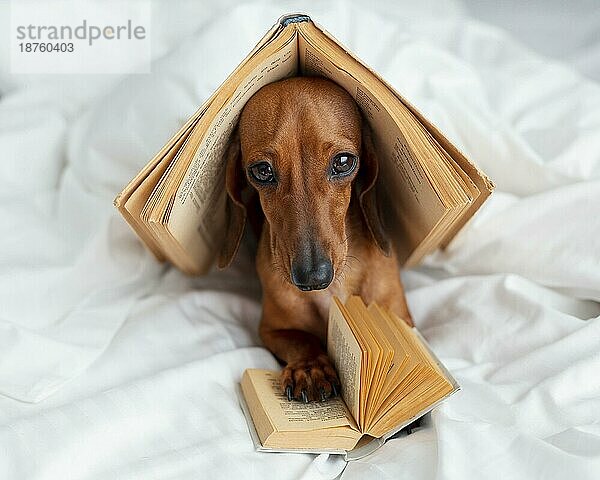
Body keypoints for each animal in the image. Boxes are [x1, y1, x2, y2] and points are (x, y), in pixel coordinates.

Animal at [219, 78, 412, 402]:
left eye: (343, 161)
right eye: (262, 170)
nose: (312, 277)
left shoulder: (402, 317)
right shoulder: (271, 329)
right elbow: (301, 339)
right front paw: (309, 367)